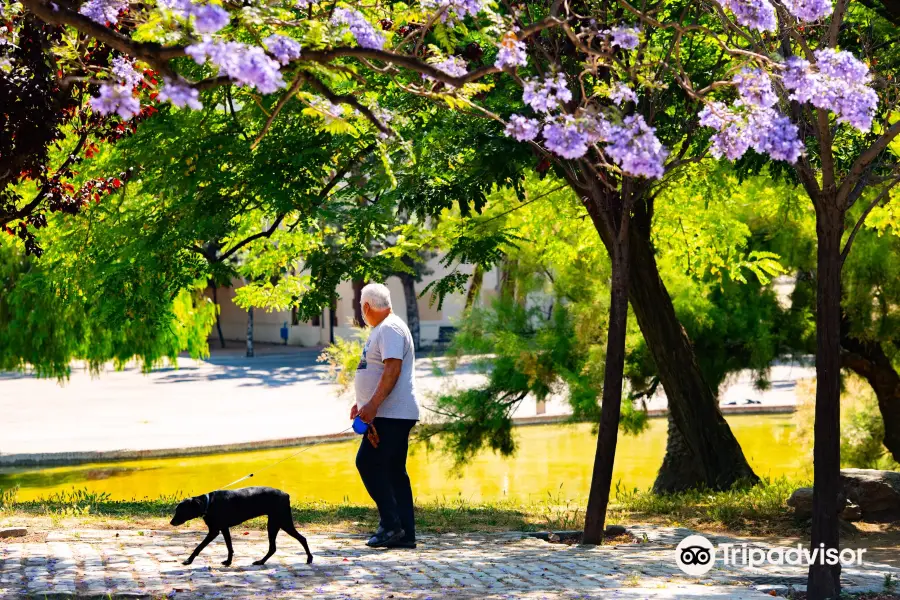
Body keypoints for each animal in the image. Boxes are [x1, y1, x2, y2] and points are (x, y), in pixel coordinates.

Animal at [169, 488, 312, 568]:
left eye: (180, 510)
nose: (171, 522)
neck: (208, 503)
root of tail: (286, 495)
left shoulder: (214, 531)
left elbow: (199, 547)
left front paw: (189, 560)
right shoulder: (224, 529)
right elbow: (229, 547)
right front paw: (228, 562)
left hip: (281, 523)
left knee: (300, 539)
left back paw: (309, 558)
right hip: (276, 524)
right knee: (277, 546)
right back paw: (261, 562)